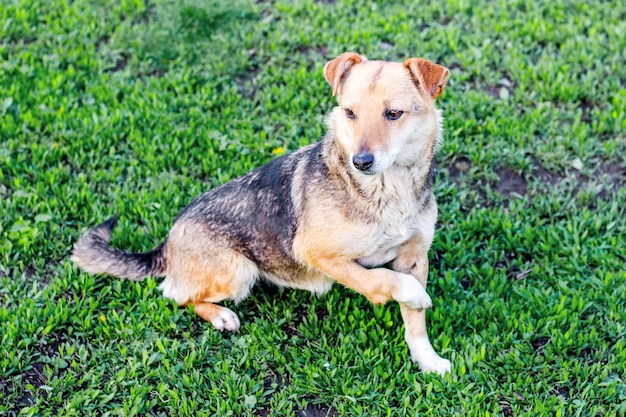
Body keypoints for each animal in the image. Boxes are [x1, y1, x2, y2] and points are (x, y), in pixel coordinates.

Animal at [73, 51, 450, 374]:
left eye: (393, 114)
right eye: (349, 113)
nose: (361, 161)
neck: (388, 191)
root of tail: (168, 240)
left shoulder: (413, 258)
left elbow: (414, 323)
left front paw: (427, 359)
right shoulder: (318, 253)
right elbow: (381, 280)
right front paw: (417, 295)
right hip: (238, 271)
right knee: (176, 295)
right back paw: (222, 316)